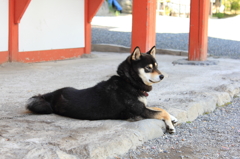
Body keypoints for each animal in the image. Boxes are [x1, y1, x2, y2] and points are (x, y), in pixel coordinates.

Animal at [26, 46, 177, 134]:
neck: (129, 82)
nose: (162, 76)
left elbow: (160, 108)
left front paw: (172, 117)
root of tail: (51, 94)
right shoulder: (139, 111)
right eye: (148, 68)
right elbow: (161, 112)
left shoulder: (143, 106)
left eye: (157, 66)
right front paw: (170, 125)